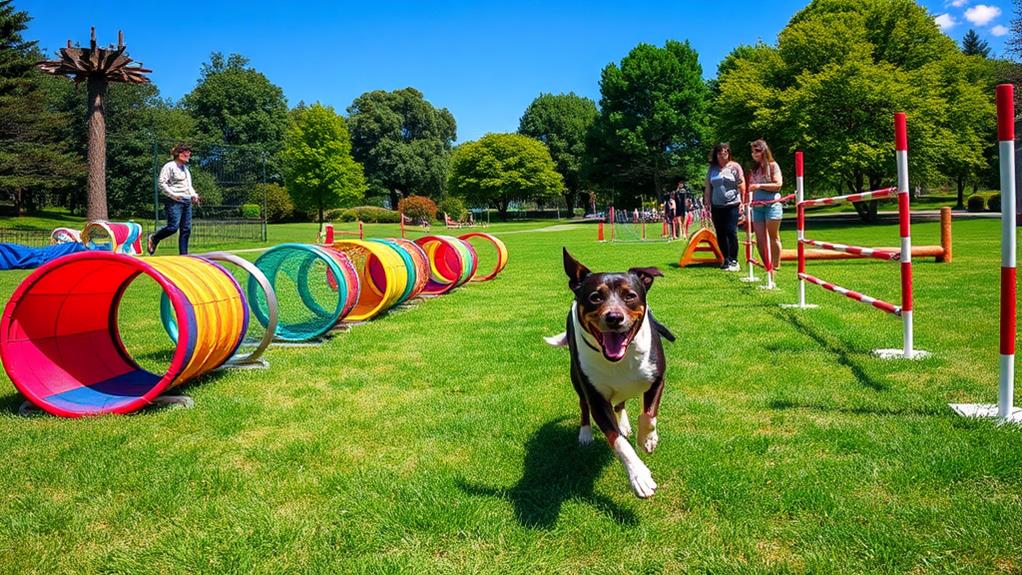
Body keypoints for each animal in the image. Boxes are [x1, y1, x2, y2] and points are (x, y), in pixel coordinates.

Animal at [547, 248, 674, 500]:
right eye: (595, 297)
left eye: (630, 296)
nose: (614, 317)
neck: (620, 358)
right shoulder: (596, 398)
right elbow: (618, 441)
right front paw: (639, 476)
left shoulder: (657, 378)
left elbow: (648, 415)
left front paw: (647, 439)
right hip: (576, 379)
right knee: (584, 405)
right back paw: (585, 433)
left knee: (621, 403)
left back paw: (624, 423)